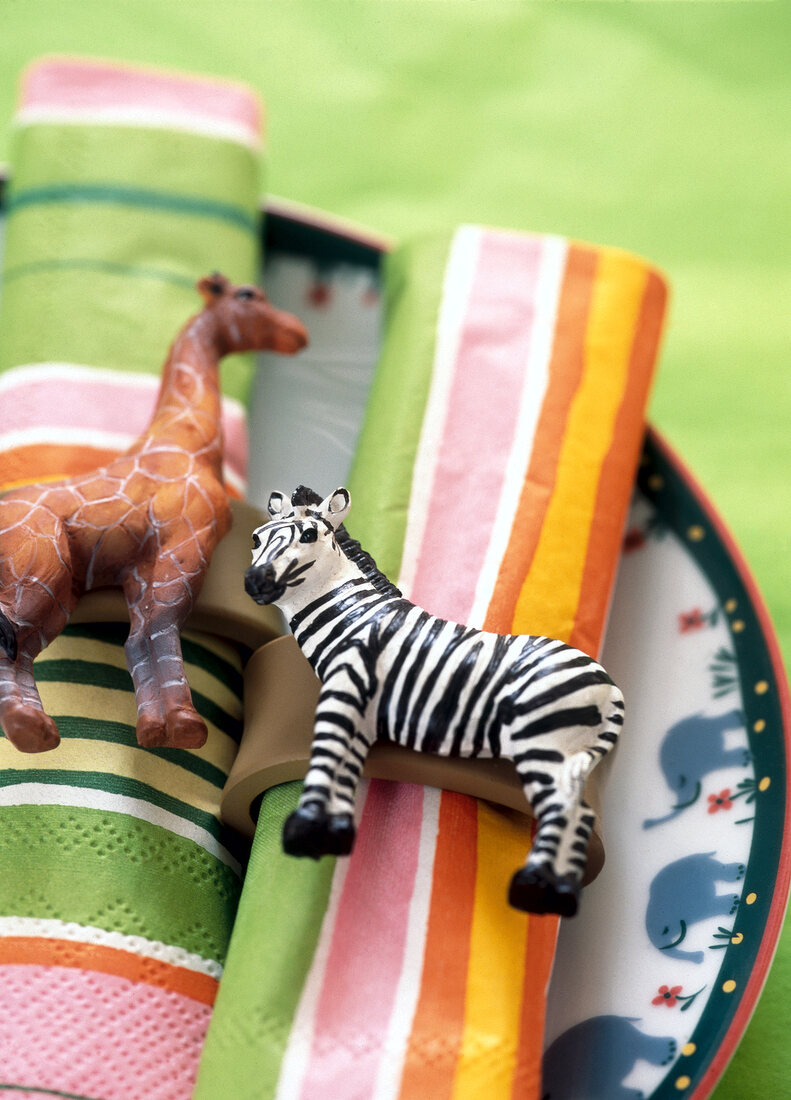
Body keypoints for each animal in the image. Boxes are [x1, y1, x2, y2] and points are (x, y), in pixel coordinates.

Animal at [0, 275, 310, 756]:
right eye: (247, 296)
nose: (298, 333)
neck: (190, 439)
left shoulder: (143, 567)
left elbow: (139, 638)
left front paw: (154, 729)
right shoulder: (186, 543)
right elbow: (160, 630)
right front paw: (185, 725)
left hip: (60, 591)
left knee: (24, 649)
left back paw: (39, 731)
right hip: (36, 573)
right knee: (8, 641)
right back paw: (25, 727)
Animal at [244, 486, 629, 915]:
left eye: (310, 535)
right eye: (256, 538)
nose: (255, 581)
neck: (352, 616)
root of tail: (612, 689)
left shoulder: (342, 693)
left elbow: (326, 758)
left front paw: (304, 829)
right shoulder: (360, 713)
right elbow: (346, 768)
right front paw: (336, 831)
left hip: (543, 743)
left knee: (563, 810)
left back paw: (532, 887)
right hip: (568, 755)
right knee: (580, 814)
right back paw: (558, 890)